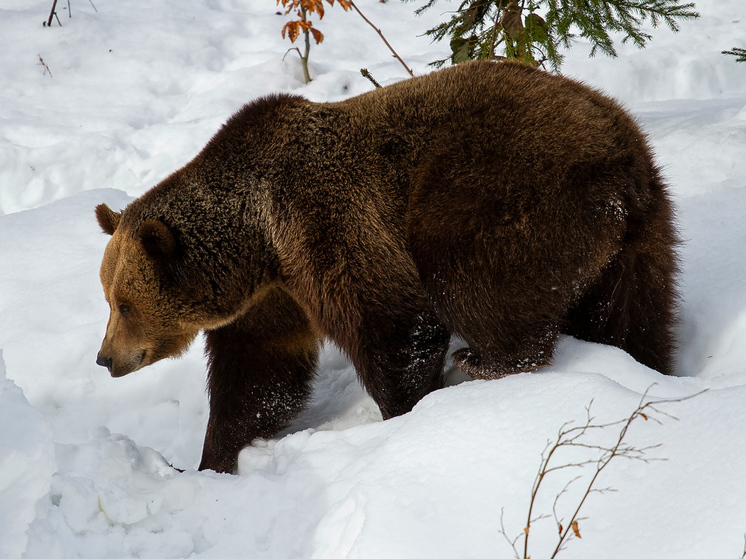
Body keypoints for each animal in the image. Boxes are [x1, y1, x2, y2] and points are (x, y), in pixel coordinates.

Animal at [93, 60, 676, 472]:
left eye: (125, 303)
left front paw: (406, 415)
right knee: (632, 318)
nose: (104, 358)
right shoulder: (270, 295)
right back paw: (645, 364)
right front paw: (212, 459)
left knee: (471, 278)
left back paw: (486, 361)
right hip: (642, 238)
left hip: (502, 190)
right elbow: (260, 372)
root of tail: (622, 163)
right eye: (108, 299)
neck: (259, 240)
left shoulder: (324, 220)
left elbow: (394, 322)